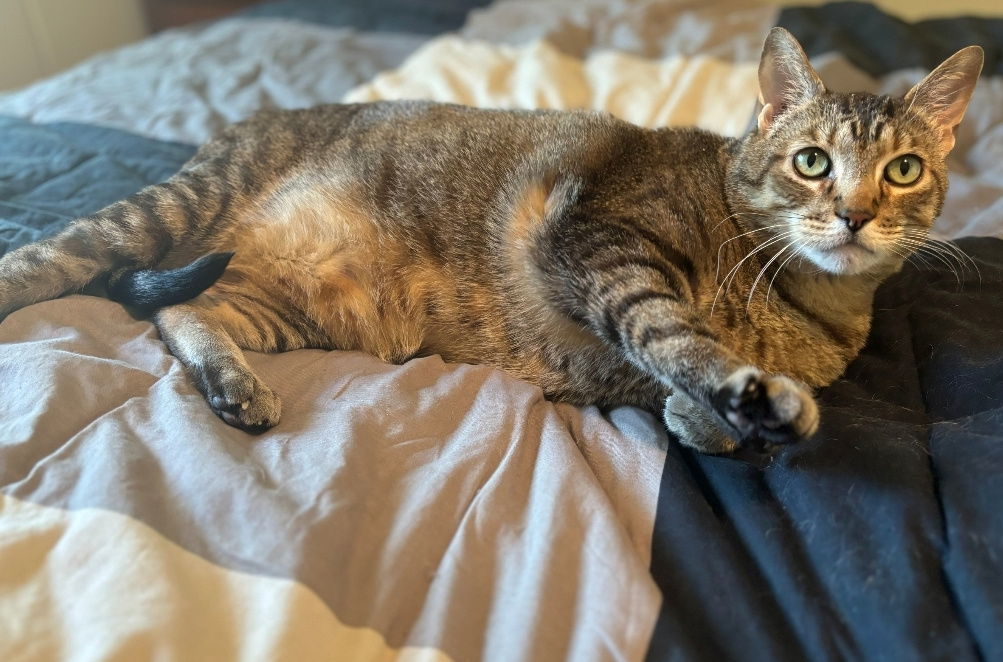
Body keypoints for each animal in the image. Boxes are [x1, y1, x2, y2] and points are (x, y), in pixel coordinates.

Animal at [0, 31, 982, 455]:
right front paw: (739, 391)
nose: (853, 214)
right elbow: (671, 332)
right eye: (812, 162)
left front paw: (721, 411)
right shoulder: (598, 240)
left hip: (288, 304)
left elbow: (688, 397)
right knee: (55, 264)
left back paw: (231, 385)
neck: (809, 305)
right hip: (163, 210)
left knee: (183, 310)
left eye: (901, 171)